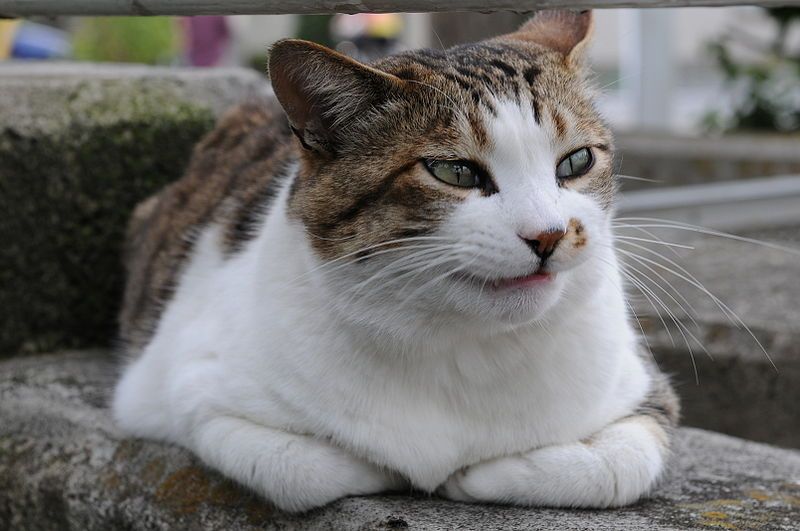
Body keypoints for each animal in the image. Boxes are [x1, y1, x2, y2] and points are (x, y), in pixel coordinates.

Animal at [112, 10, 680, 512]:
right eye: (454, 172)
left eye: (576, 161)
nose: (548, 234)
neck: (462, 346)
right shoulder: (175, 386)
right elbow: (297, 469)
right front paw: (396, 470)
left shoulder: (642, 388)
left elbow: (616, 467)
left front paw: (474, 475)